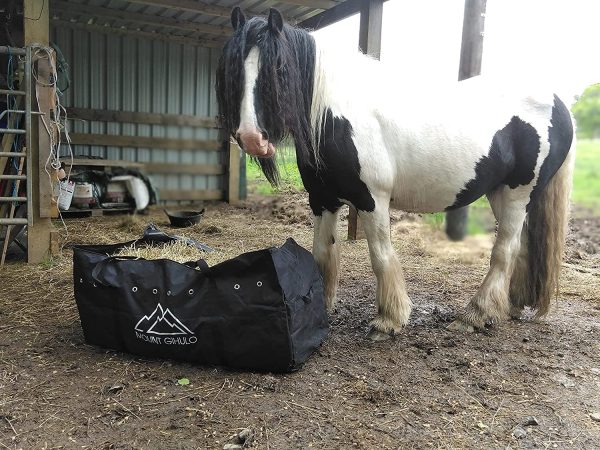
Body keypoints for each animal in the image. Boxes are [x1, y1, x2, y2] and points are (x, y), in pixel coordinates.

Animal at [216, 7, 576, 342]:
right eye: (234, 70)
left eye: (279, 68)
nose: (251, 138)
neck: (335, 116)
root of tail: (560, 104)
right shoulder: (322, 199)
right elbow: (322, 253)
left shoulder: (372, 200)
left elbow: (380, 256)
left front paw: (388, 320)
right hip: (501, 193)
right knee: (522, 247)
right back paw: (511, 305)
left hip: (518, 193)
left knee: (505, 250)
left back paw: (476, 314)